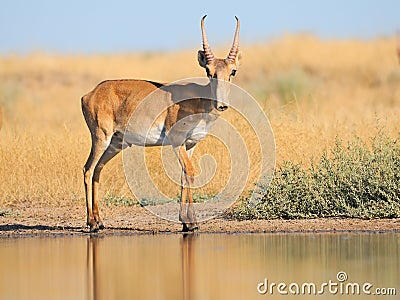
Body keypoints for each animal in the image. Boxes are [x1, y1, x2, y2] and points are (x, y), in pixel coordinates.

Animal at [81, 15, 241, 232]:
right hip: (100, 138)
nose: (222, 105)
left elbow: (185, 175)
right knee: (88, 169)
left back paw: (99, 221)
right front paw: (190, 223)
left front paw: (187, 223)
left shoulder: (190, 144)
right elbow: (190, 172)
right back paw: (91, 223)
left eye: (232, 71)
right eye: (209, 71)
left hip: (115, 144)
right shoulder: (177, 142)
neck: (199, 100)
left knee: (98, 169)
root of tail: (90, 93)